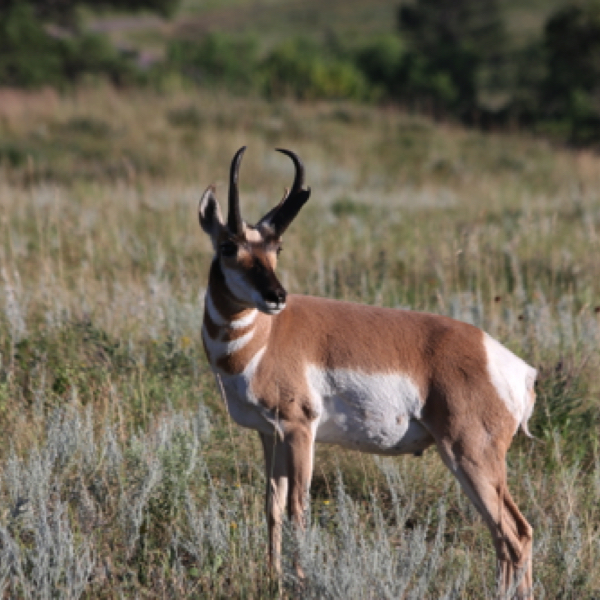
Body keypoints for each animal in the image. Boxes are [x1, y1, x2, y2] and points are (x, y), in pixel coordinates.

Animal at [199, 146, 536, 600]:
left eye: (277, 249)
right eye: (228, 246)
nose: (277, 296)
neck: (265, 337)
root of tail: (510, 365)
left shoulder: (299, 430)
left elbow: (298, 509)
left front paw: (300, 582)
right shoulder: (269, 434)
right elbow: (272, 506)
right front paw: (273, 579)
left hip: (471, 455)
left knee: (515, 535)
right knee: (508, 537)